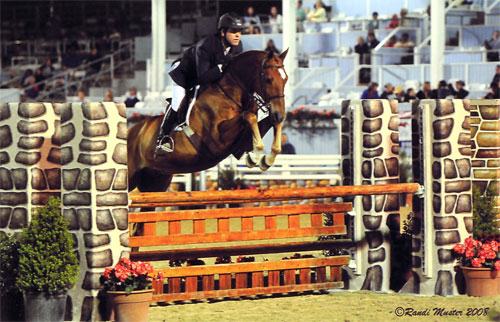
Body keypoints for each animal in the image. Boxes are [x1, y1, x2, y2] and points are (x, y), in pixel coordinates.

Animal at [127, 49, 288, 192]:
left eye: (285, 79)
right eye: (268, 79)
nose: (279, 114)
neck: (228, 94)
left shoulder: (240, 145)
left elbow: (265, 122)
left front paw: (266, 159)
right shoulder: (217, 142)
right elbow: (249, 117)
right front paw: (255, 157)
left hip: (155, 180)